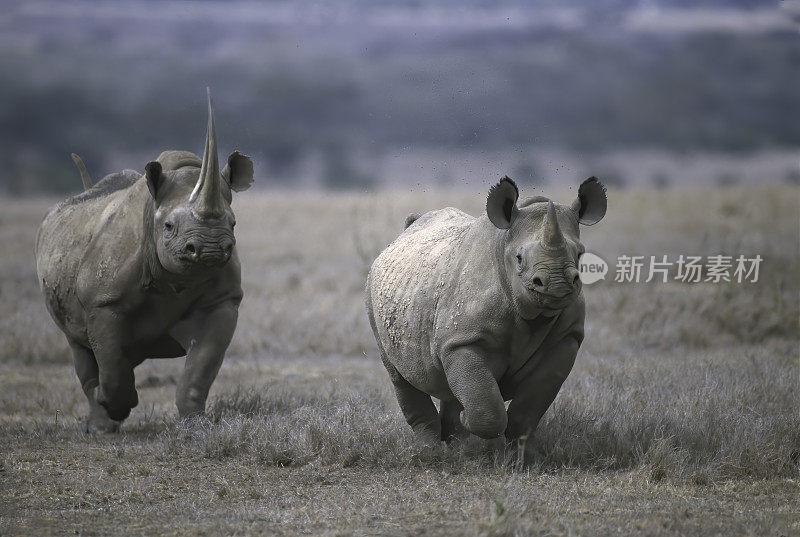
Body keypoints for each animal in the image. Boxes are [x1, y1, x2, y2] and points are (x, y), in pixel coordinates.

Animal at [33, 88, 253, 432]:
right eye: (168, 226)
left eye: (232, 223)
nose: (209, 250)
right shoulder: (103, 302)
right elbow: (110, 362)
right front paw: (113, 404)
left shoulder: (222, 300)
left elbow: (201, 369)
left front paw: (195, 424)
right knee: (81, 347)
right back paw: (100, 426)